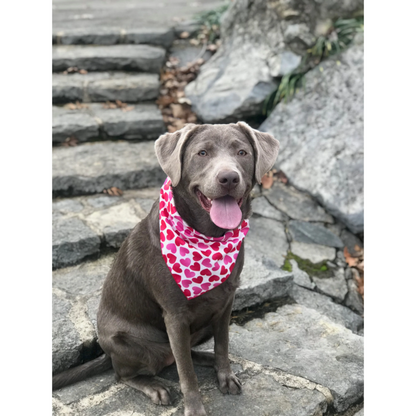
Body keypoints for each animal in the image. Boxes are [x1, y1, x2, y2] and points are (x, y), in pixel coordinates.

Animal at [52, 122, 280, 416]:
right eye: (202, 153)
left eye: (242, 152)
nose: (229, 178)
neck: (208, 238)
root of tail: (106, 351)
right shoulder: (175, 316)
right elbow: (186, 374)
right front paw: (194, 408)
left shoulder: (226, 303)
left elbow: (222, 345)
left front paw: (224, 375)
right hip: (131, 343)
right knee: (127, 373)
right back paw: (154, 386)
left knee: (181, 355)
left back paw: (205, 358)